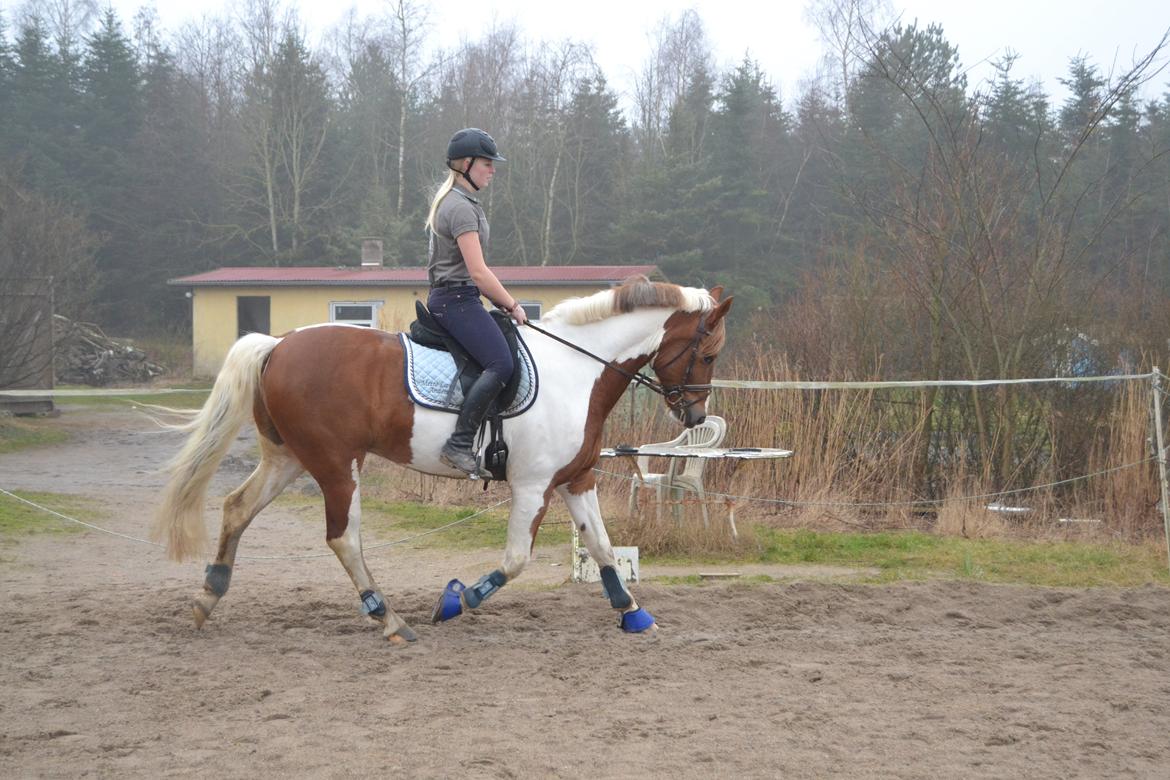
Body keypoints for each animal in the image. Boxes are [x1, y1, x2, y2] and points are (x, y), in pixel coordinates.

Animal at [148, 277, 730, 645]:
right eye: (707, 353)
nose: (695, 413)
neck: (575, 370)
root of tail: (278, 344)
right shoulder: (533, 485)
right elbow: (515, 561)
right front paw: (455, 601)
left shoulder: (576, 479)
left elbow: (604, 547)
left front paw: (634, 614)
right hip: (337, 463)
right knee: (343, 538)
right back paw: (388, 620)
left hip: (288, 457)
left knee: (237, 508)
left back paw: (208, 597)